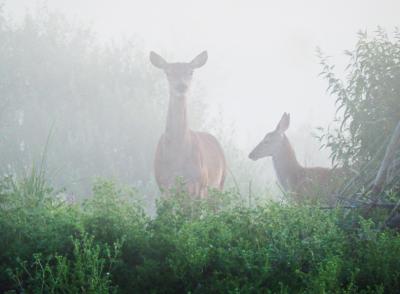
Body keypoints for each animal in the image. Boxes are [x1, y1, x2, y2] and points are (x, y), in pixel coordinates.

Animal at [149, 51, 225, 198]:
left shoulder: (200, 184)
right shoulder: (162, 185)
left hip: (219, 183)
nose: (181, 86)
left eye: (191, 72)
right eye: (168, 72)